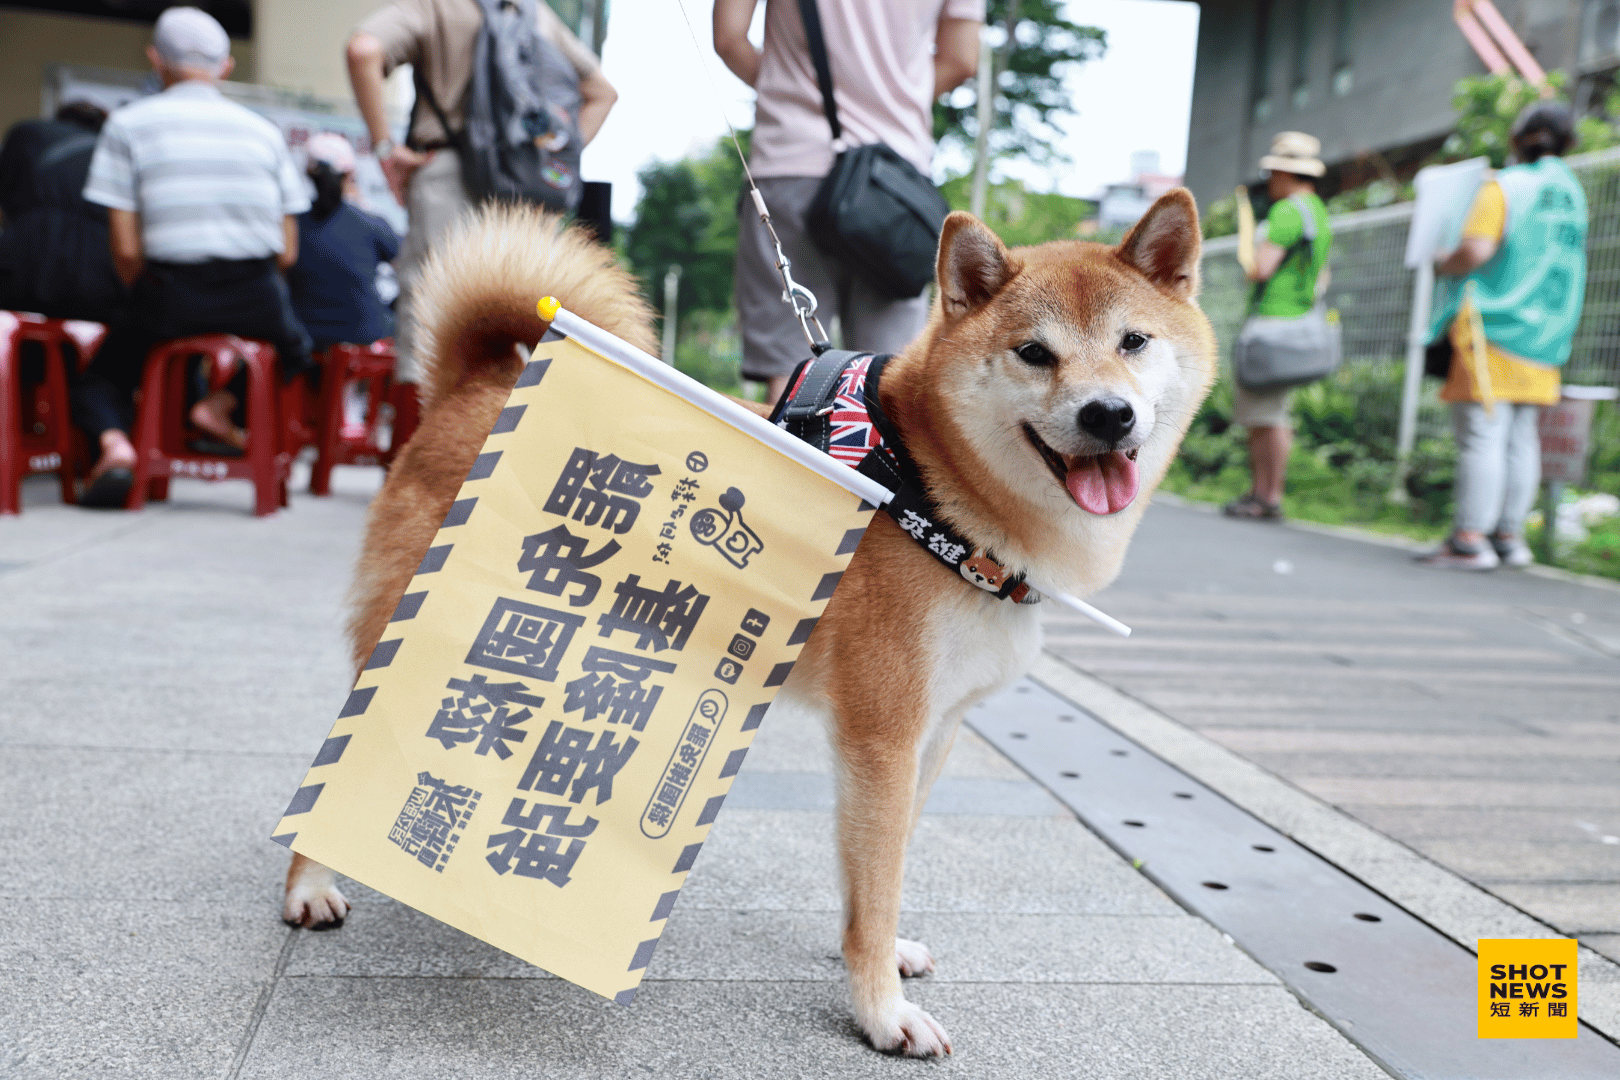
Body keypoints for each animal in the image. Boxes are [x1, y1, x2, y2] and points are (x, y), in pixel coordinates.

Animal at [281, 191, 1218, 1055]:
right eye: (1034, 353)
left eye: (1133, 342)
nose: (1108, 414)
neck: (934, 488)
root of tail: (472, 384)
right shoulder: (882, 732)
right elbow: (876, 883)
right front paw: (881, 1014)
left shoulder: (937, 730)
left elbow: (882, 870)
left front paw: (883, 956)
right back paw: (311, 886)